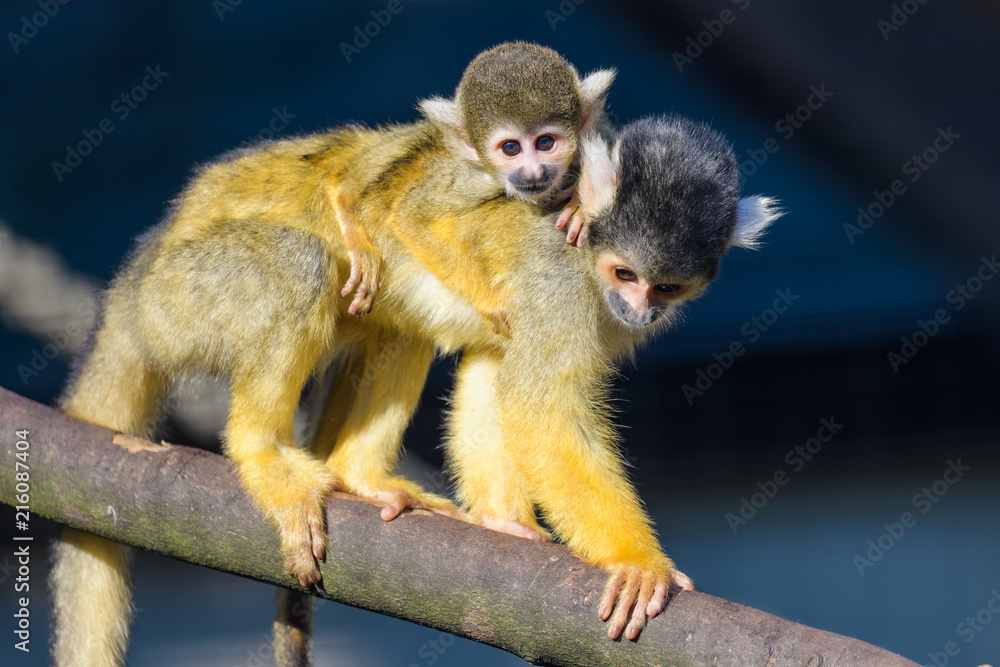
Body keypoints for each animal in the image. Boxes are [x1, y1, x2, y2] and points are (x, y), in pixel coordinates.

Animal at [50, 104, 778, 663]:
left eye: (667, 287)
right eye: (626, 273)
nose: (639, 310)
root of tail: (135, 278)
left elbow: (498, 367)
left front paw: (503, 521)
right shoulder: (563, 276)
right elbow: (540, 403)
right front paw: (637, 562)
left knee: (403, 323)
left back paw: (359, 472)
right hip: (181, 299)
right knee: (300, 261)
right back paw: (261, 451)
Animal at [337, 42, 615, 322]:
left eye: (545, 142)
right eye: (511, 148)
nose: (533, 173)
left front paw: (579, 204)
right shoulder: (472, 178)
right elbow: (410, 216)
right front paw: (491, 303)